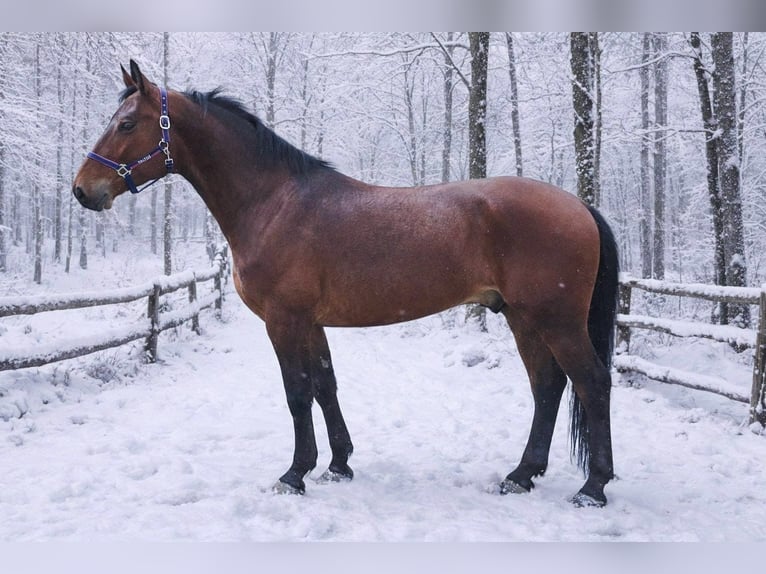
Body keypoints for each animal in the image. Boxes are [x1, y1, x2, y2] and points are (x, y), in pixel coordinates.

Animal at [73, 60, 619, 507]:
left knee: (591, 382)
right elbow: (325, 386)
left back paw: (592, 487)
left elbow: (297, 392)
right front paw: (338, 464)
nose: (82, 191)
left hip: (556, 320)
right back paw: (521, 475)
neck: (272, 202)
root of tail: (579, 206)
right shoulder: (311, 323)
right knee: (547, 386)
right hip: (523, 318)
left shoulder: (284, 321)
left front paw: (295, 474)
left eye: (126, 124)